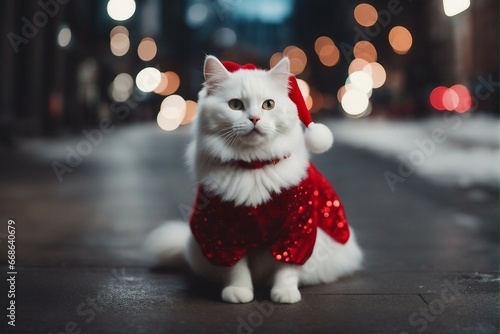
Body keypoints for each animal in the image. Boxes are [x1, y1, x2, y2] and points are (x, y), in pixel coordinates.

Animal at [146, 54, 364, 302]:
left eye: (268, 104)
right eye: (235, 105)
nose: (255, 118)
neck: (253, 165)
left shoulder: (297, 230)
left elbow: (287, 268)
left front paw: (285, 293)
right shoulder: (223, 235)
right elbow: (236, 269)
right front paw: (239, 292)